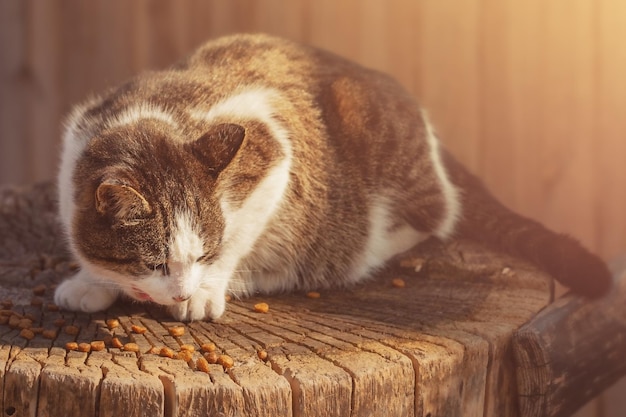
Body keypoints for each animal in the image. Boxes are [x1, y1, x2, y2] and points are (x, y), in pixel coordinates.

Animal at [53, 33, 608, 322]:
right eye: (153, 263)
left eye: (204, 254)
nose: (184, 291)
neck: (154, 117)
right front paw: (89, 282)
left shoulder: (273, 147)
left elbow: (240, 234)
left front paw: (210, 290)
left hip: (378, 141)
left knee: (438, 213)